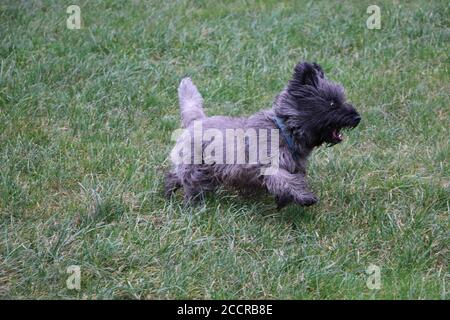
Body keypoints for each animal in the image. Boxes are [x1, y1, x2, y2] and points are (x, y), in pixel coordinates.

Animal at [163, 61, 360, 209]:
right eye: (332, 103)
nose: (357, 117)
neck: (284, 129)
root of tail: (196, 121)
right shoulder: (271, 167)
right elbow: (289, 181)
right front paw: (305, 198)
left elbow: (294, 180)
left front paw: (285, 201)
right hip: (196, 167)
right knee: (188, 182)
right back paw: (191, 204)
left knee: (174, 176)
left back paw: (167, 194)